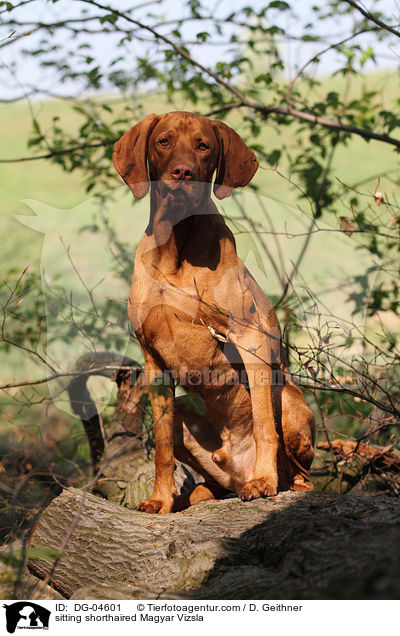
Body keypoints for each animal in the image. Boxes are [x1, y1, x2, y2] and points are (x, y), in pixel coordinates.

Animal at [113, 113, 316, 512]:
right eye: (163, 141)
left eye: (203, 145)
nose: (183, 172)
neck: (175, 246)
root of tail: (237, 468)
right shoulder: (152, 362)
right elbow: (161, 447)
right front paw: (160, 500)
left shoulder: (251, 338)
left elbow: (265, 424)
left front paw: (264, 481)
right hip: (185, 415)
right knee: (214, 481)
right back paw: (199, 493)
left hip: (288, 397)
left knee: (300, 473)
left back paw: (272, 481)